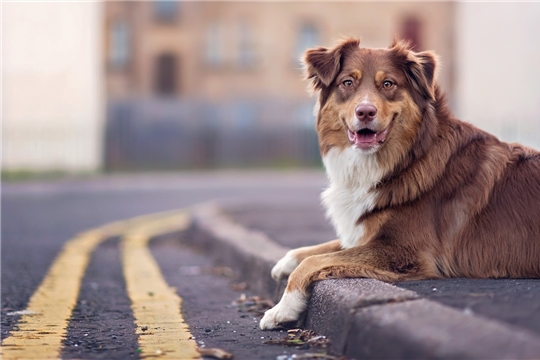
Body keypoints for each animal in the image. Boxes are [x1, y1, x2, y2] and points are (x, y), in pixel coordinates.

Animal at [260, 38, 540, 330]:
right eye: (347, 82)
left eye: (388, 84)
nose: (365, 111)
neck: (408, 159)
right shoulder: (367, 236)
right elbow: (322, 248)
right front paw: (284, 263)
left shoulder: (405, 252)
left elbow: (314, 260)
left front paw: (282, 308)